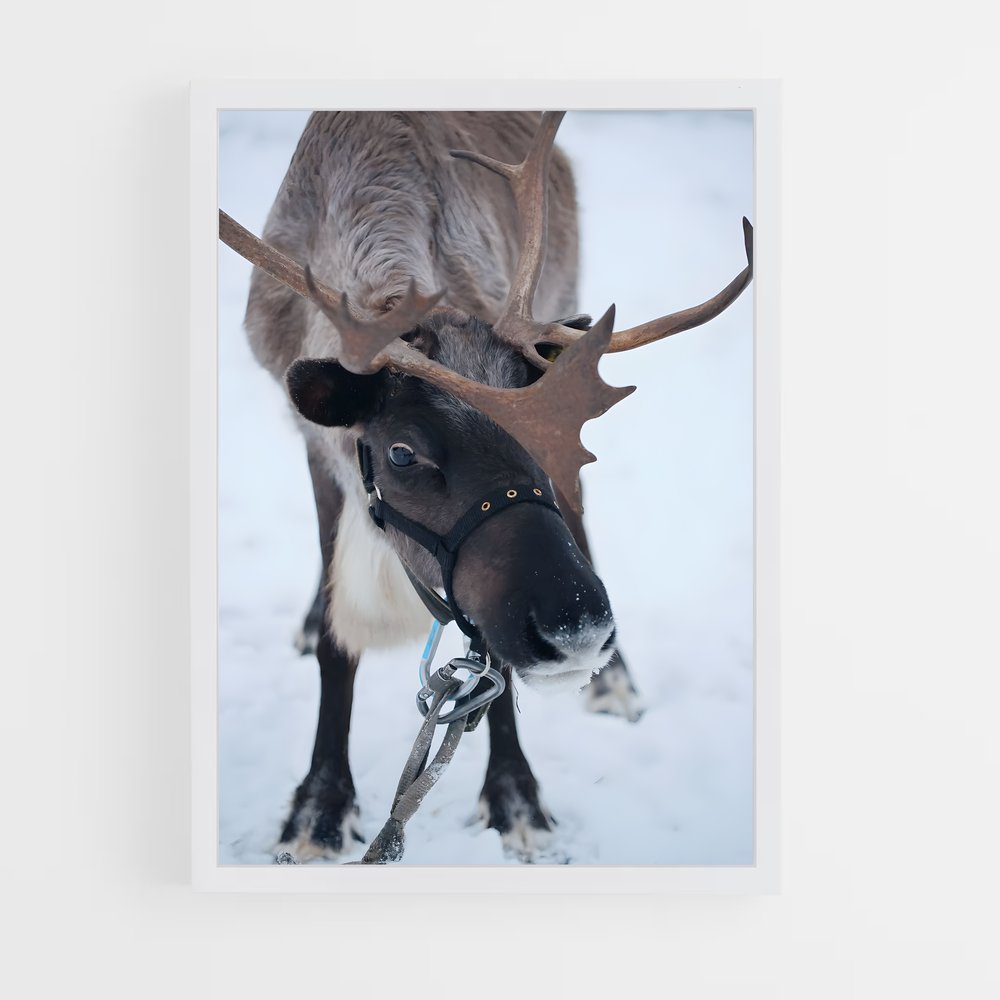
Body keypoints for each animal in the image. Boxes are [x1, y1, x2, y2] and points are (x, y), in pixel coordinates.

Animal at [219, 111, 752, 862]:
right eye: (403, 452)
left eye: (547, 444)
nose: (578, 628)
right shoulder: (321, 453)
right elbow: (335, 639)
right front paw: (318, 810)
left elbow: (488, 661)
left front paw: (516, 798)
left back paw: (617, 683)